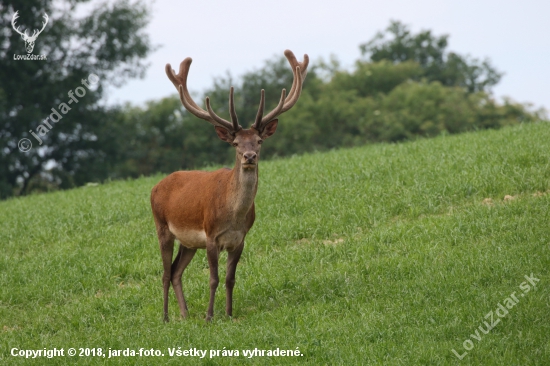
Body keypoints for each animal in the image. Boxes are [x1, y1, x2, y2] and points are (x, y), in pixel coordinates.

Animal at [151, 50, 308, 322]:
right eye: (235, 143)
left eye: (259, 141)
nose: (249, 156)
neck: (232, 215)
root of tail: (155, 187)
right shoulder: (211, 235)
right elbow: (213, 279)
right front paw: (209, 316)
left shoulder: (240, 239)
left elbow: (230, 279)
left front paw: (229, 313)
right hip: (162, 227)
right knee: (164, 273)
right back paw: (166, 317)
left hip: (188, 242)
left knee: (175, 271)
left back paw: (185, 315)